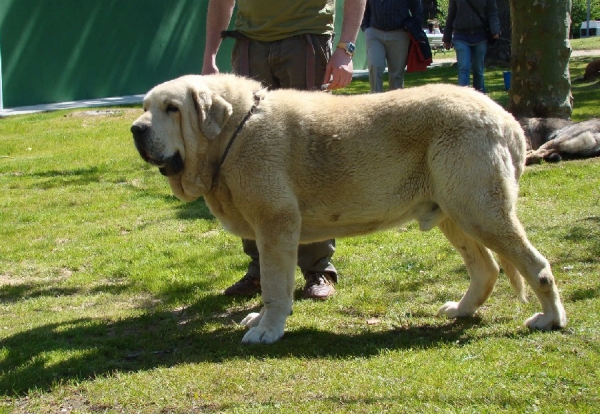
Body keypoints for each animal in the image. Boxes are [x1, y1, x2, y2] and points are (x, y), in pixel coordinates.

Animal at [131, 73, 568, 342]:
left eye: (172, 108)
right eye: (146, 106)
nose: (136, 128)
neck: (233, 132)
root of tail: (506, 119)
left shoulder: (276, 225)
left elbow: (273, 286)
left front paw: (268, 329)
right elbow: (274, 285)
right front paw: (264, 321)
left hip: (480, 210)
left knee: (536, 266)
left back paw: (551, 319)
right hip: (456, 212)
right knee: (487, 268)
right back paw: (462, 310)